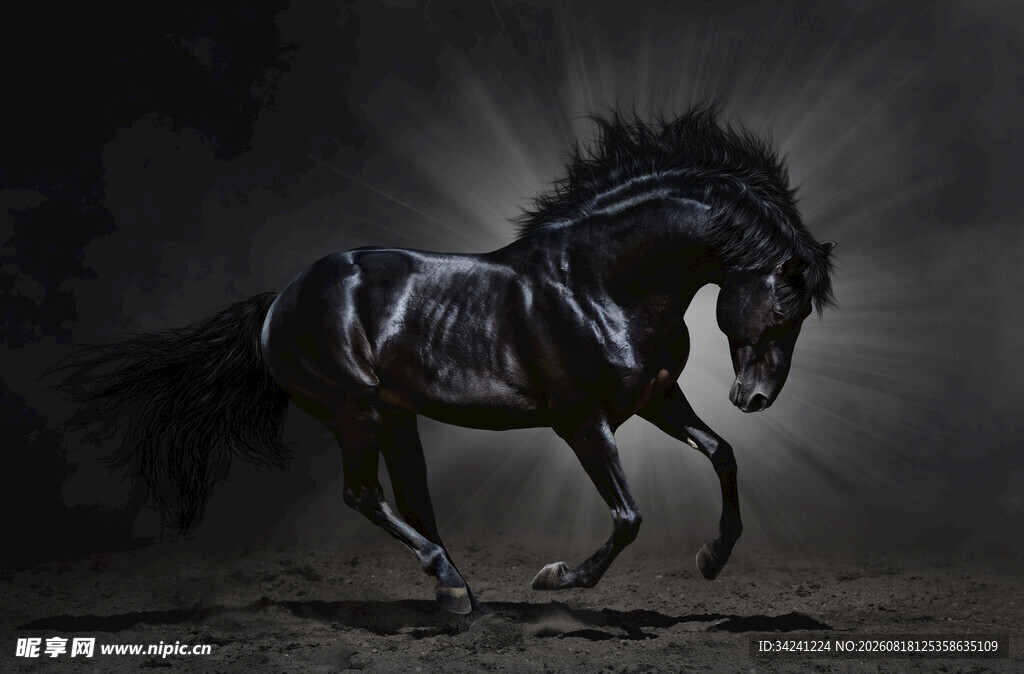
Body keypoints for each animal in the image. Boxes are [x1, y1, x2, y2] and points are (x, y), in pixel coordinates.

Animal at [59, 104, 835, 615]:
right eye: (784, 305)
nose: (754, 398)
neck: (600, 283)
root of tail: (280, 300)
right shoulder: (583, 422)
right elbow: (628, 517)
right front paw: (555, 578)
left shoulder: (654, 398)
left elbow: (722, 454)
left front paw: (712, 559)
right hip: (354, 411)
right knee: (364, 496)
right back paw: (453, 585)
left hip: (394, 416)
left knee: (411, 500)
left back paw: (458, 592)